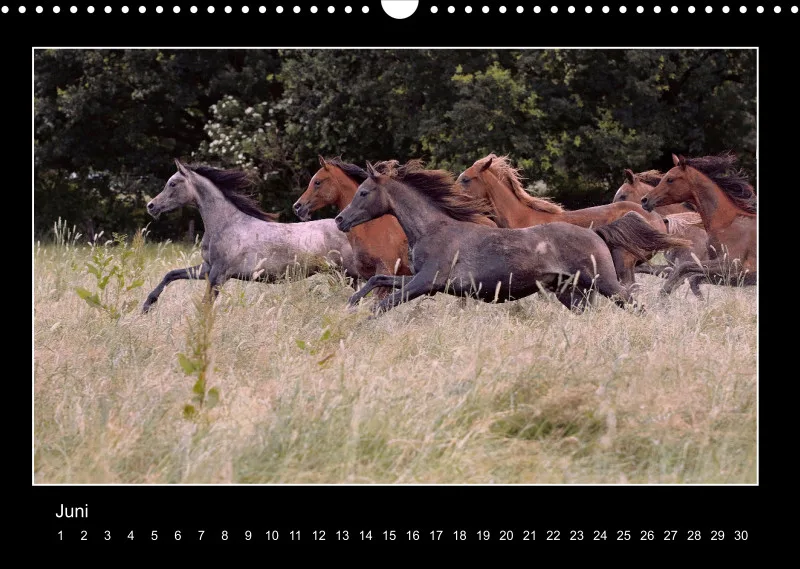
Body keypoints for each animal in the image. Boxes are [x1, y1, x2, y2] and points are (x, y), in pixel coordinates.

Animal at [141, 159, 358, 313]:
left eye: (173, 184)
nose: (151, 206)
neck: (225, 224)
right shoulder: (207, 268)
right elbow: (171, 274)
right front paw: (147, 306)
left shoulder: (219, 274)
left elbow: (205, 304)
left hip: (349, 272)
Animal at [641, 153, 757, 295]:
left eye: (670, 179)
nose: (645, 200)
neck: (726, 224)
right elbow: (692, 277)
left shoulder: (731, 265)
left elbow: (683, 268)